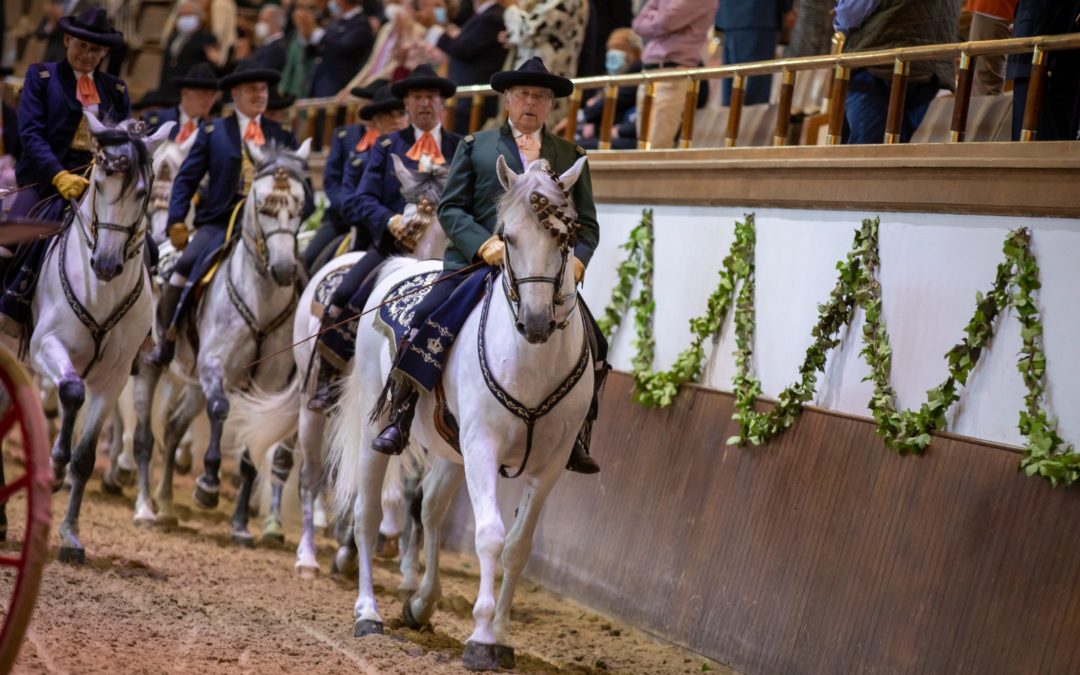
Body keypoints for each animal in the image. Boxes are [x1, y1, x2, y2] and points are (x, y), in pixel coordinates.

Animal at [2, 113, 173, 561]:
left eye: (142, 191)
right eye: (98, 182)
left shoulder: (113, 377)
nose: (107, 264)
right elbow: (71, 391)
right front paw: (56, 465)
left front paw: (70, 535)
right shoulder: (47, 346)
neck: (101, 291)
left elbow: (85, 455)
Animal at [129, 138, 313, 542]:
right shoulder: (215, 366)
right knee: (145, 438)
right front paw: (208, 485)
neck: (260, 300)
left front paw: (241, 524)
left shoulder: (265, 384)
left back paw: (167, 507)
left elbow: (248, 451)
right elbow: (220, 411)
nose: (284, 270)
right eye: (263, 206)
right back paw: (145, 507)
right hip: (151, 367)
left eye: (299, 207)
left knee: (173, 427)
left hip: (195, 383)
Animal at [234, 152, 453, 574]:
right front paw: (353, 545)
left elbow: (406, 490)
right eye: (408, 228)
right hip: (313, 406)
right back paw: (307, 555)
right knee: (311, 474)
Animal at [326, 156, 591, 669]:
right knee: (368, 513)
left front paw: (502, 636)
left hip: (453, 451)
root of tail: (405, 266)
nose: (535, 322)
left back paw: (420, 602)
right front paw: (482, 638)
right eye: (508, 237)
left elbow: (517, 546)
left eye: (565, 238)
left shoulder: (548, 466)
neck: (532, 361)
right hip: (381, 429)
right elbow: (489, 535)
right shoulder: (484, 446)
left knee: (429, 507)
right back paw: (368, 613)